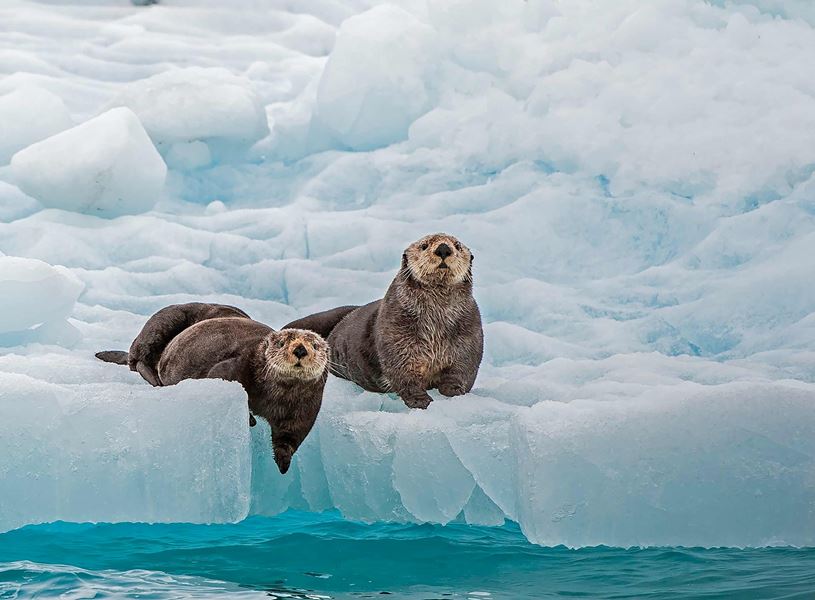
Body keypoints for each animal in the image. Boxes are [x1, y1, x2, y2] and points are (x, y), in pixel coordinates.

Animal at [96, 303, 328, 474]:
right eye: (281, 343)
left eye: (315, 345)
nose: (300, 349)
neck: (278, 395)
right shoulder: (235, 367)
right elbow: (218, 375)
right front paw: (250, 419)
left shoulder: (304, 409)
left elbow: (291, 437)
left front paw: (283, 463)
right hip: (163, 322)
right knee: (137, 359)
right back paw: (155, 377)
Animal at [284, 233, 483, 409]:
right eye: (424, 245)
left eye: (457, 245)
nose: (443, 248)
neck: (435, 320)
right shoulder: (395, 330)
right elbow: (402, 370)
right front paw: (419, 400)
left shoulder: (469, 331)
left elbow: (463, 366)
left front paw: (454, 390)